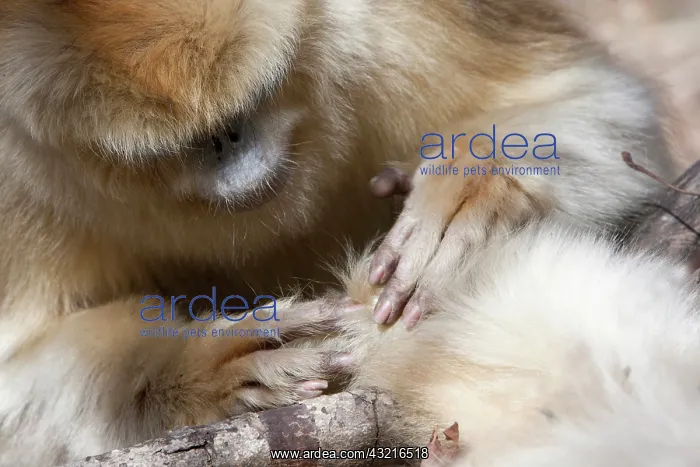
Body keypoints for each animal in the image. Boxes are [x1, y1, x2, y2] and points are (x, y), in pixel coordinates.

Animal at [0, 0, 682, 465]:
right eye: (194, 143)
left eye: (253, 106)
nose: (230, 143)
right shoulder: (15, 168)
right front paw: (205, 365)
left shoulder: (388, 18)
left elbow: (592, 102)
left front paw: (472, 196)